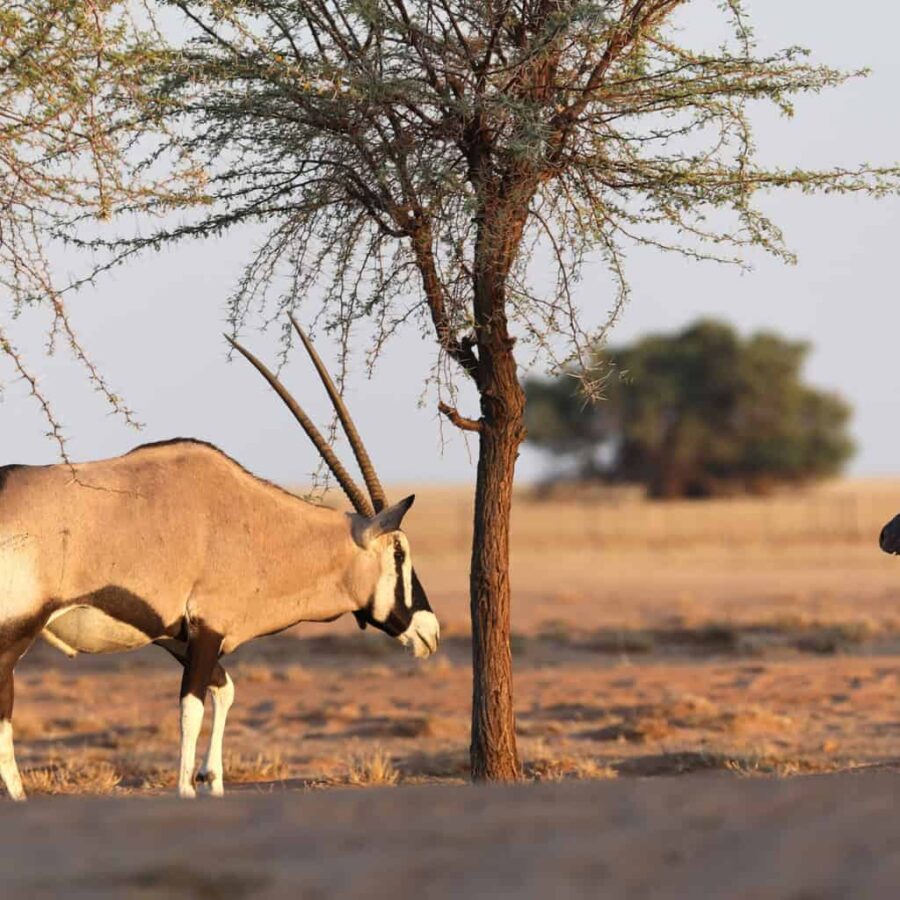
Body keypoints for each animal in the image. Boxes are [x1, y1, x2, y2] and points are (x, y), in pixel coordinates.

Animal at [0, 318, 440, 800]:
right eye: (399, 551)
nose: (431, 632)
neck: (251, 523)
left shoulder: (180, 637)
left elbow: (225, 690)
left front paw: (212, 778)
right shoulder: (207, 630)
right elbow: (190, 709)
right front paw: (187, 788)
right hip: (14, 634)